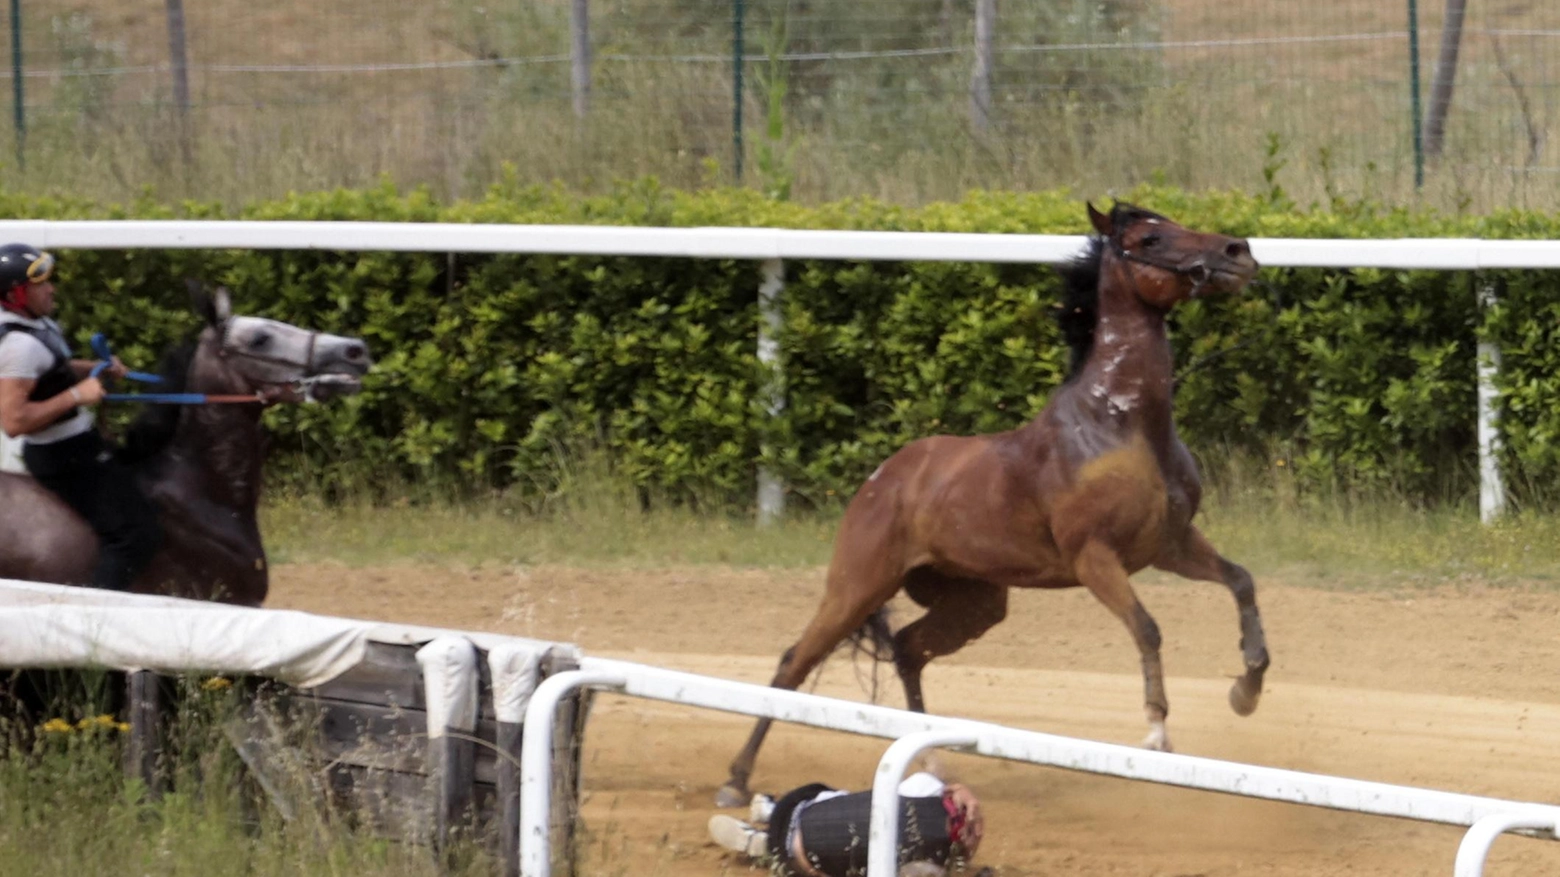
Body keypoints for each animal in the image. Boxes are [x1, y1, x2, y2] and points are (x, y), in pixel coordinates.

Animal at [714, 201, 1266, 805]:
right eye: (1149, 237)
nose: (1238, 252)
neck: (1120, 426)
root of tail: (883, 479)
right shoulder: (1095, 558)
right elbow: (1147, 628)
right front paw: (1156, 732)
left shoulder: (1170, 544)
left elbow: (1241, 581)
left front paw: (1246, 690)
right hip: (857, 587)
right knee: (795, 663)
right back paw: (736, 781)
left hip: (974, 602)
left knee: (907, 648)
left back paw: (930, 760)